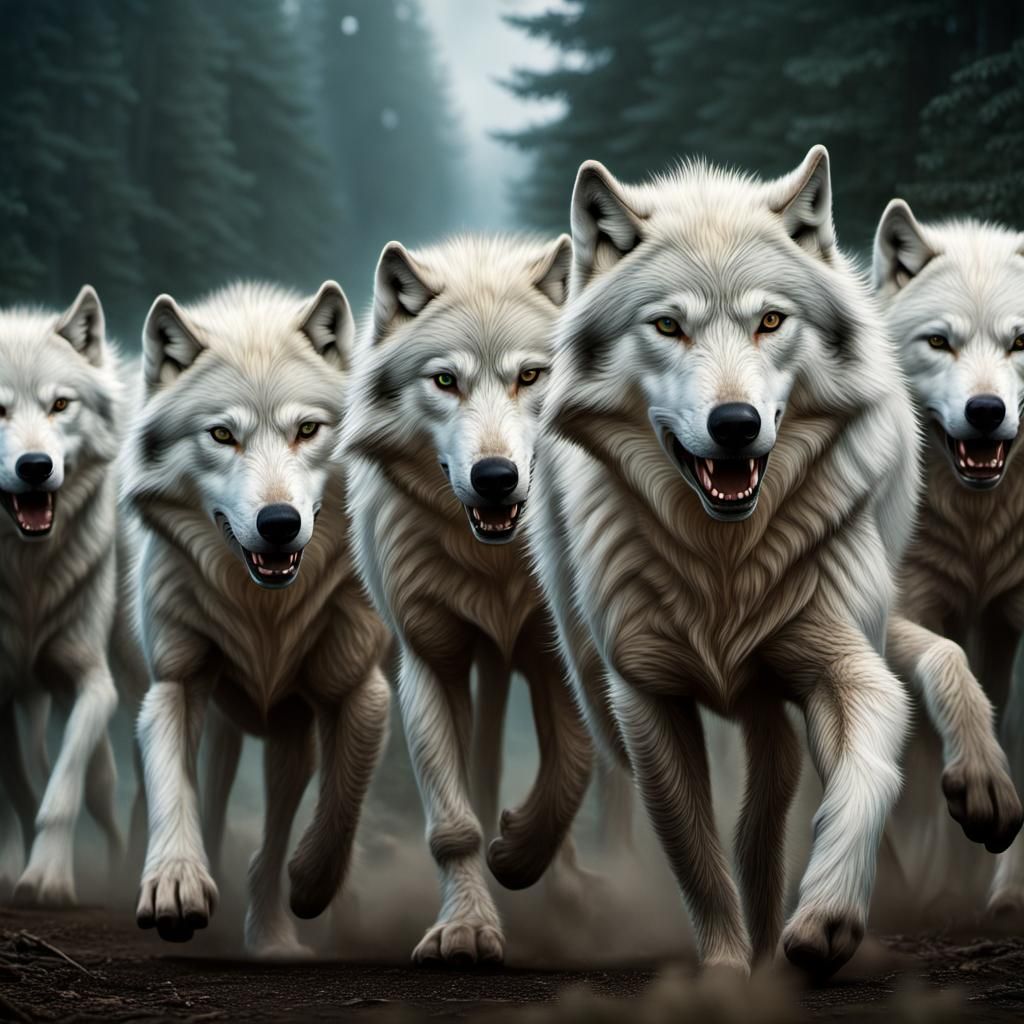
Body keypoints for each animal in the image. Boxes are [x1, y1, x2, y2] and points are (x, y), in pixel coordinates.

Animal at [126, 281, 390, 956]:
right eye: (222, 435)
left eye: (307, 429)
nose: (278, 523)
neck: (263, 611)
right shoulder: (174, 683)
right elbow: (172, 788)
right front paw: (175, 884)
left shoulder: (359, 689)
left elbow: (342, 804)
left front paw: (312, 884)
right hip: (233, 728)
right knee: (216, 806)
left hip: (291, 733)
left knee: (273, 835)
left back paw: (275, 934)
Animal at [344, 235, 596, 965]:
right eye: (445, 381)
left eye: (531, 376)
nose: (494, 477)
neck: (497, 563)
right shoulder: (432, 661)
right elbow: (452, 824)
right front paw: (466, 928)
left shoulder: (557, 654)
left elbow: (572, 769)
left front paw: (518, 854)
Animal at [527, 146, 924, 977]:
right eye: (668, 326)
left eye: (770, 320)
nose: (734, 423)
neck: (725, 562)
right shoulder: (646, 699)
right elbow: (694, 853)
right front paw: (726, 969)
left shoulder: (846, 664)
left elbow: (864, 776)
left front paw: (826, 915)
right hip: (597, 680)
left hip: (773, 695)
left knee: (769, 800)